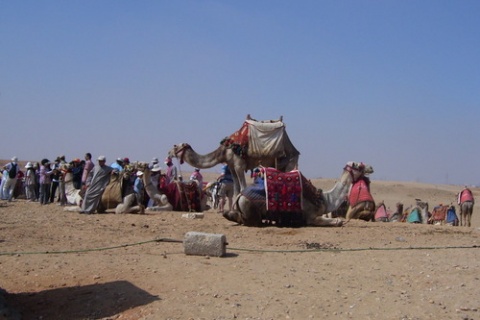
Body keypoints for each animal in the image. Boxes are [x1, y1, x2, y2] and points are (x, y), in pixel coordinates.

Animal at [167, 114, 298, 196]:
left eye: (175, 146)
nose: (169, 152)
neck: (225, 151)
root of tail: (295, 150)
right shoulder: (231, 166)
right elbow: (236, 189)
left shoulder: (239, 165)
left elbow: (243, 188)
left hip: (290, 161)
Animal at [223, 160, 374, 228]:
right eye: (359, 165)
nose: (371, 167)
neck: (325, 199)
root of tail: (240, 196)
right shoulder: (310, 217)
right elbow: (338, 221)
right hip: (251, 212)